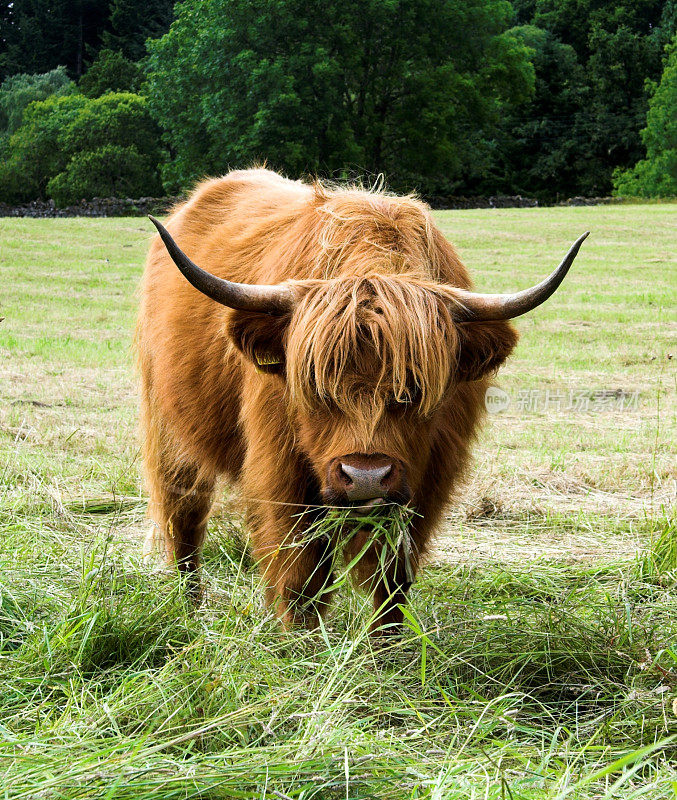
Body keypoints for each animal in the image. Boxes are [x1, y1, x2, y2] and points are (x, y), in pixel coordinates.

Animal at [136, 169, 588, 632]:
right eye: (317, 387)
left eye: (413, 389)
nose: (366, 476)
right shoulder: (282, 476)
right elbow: (300, 576)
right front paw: (300, 643)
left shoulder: (427, 482)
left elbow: (392, 582)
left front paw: (385, 646)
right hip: (168, 431)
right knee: (183, 521)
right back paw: (190, 611)